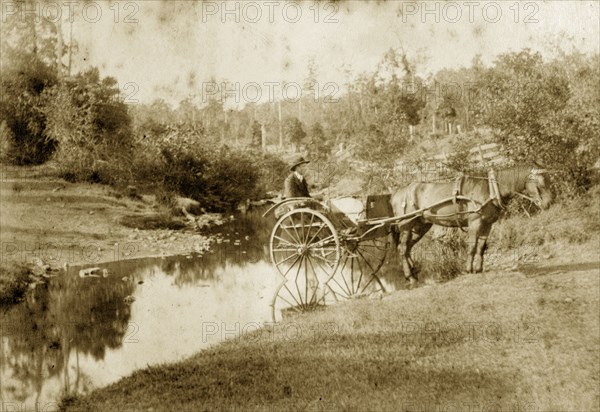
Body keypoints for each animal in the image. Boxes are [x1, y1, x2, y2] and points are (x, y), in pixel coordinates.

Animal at [390, 164, 552, 284]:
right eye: (540, 183)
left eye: (549, 180)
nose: (549, 203)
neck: (490, 189)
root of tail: (397, 192)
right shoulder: (474, 223)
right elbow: (472, 247)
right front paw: (469, 269)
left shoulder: (487, 224)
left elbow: (481, 247)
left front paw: (479, 269)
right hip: (406, 224)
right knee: (402, 248)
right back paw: (410, 276)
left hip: (421, 226)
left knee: (408, 247)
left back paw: (414, 271)